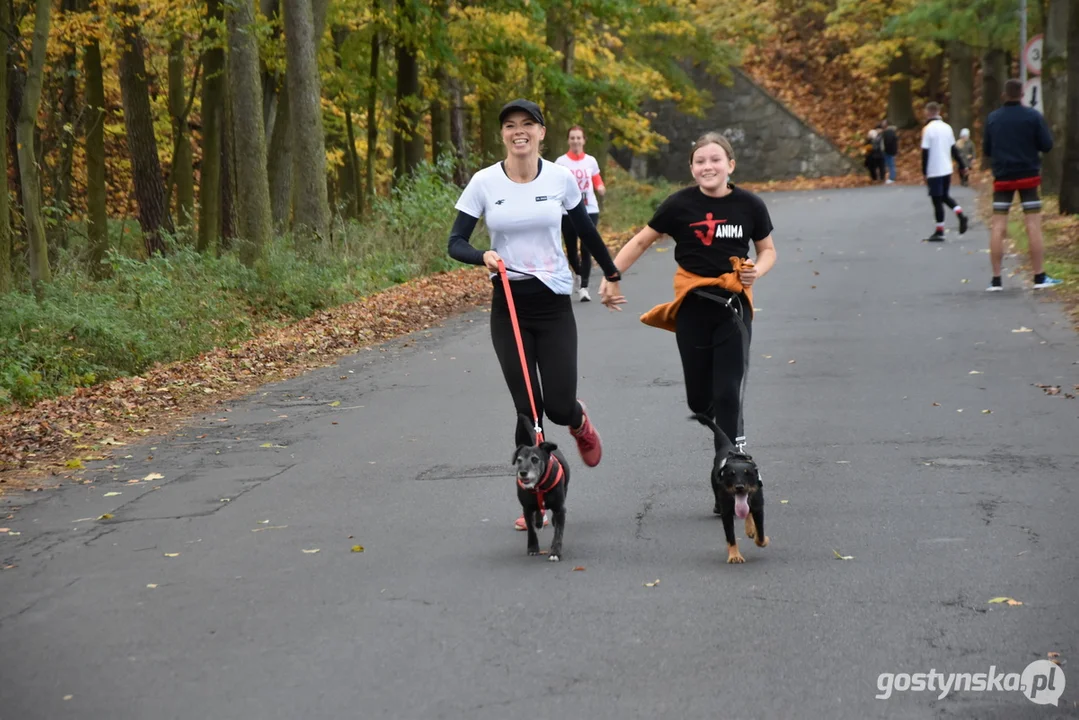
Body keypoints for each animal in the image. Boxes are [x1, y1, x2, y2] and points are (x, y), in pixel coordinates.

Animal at [513, 416, 574, 561]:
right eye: (519, 460)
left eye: (535, 459)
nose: (523, 473)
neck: (539, 486)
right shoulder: (527, 509)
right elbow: (531, 530)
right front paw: (533, 548)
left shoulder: (559, 508)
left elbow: (558, 532)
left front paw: (555, 552)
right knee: (538, 512)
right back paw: (539, 521)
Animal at [690, 414, 768, 565]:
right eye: (731, 474)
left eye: (748, 473)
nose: (739, 487)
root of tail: (730, 446)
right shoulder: (726, 512)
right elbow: (730, 536)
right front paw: (734, 556)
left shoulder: (758, 507)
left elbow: (761, 534)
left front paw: (760, 538)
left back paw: (750, 529)